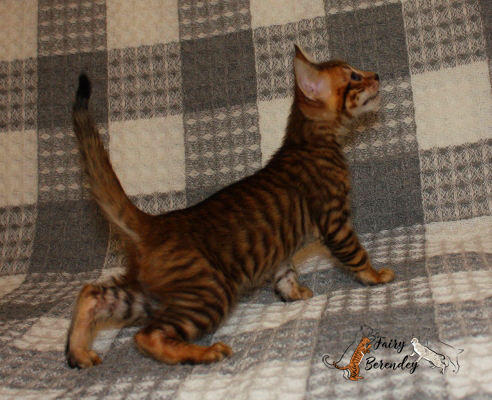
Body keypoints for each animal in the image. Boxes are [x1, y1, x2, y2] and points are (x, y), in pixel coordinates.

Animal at [66, 45, 395, 368]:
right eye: (354, 77)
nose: (377, 75)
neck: (309, 142)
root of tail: (153, 224)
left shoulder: (282, 250)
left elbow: (286, 271)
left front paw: (293, 293)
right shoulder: (335, 221)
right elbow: (356, 254)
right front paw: (376, 276)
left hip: (153, 295)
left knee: (92, 293)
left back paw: (79, 352)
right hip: (209, 290)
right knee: (147, 336)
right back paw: (204, 353)